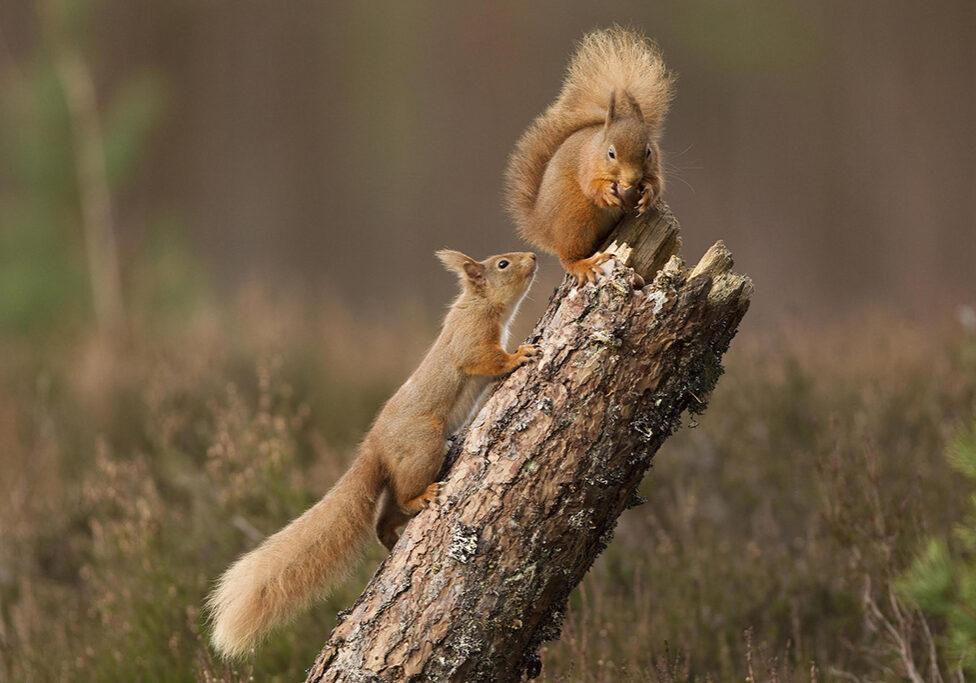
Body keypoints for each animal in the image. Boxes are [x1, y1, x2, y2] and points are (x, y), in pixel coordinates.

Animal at [208, 248, 540, 660]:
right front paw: (520, 356)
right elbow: (487, 360)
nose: (533, 256)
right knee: (402, 496)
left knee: (384, 516)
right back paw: (421, 498)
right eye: (502, 264)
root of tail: (375, 448)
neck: (480, 305)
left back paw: (391, 536)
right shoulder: (471, 341)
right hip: (424, 446)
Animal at [504, 28, 672, 284]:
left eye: (649, 151)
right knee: (568, 256)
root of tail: (543, 227)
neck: (597, 145)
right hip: (577, 216)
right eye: (611, 153)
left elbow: (656, 182)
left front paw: (647, 195)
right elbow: (591, 186)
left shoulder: (655, 167)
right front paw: (607, 193)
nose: (632, 180)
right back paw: (583, 264)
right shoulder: (587, 166)